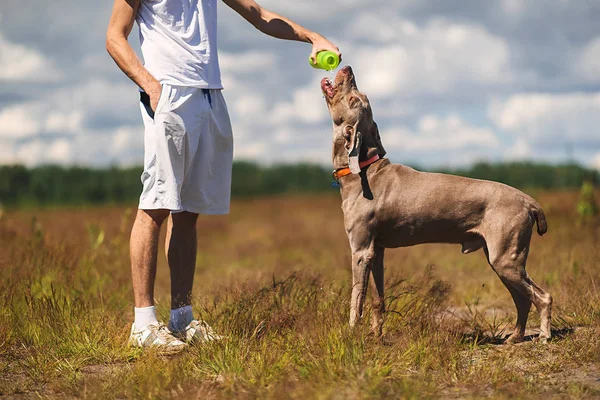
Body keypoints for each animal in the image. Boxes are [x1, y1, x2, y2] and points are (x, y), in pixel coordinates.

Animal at [322, 65, 552, 344]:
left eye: (355, 98)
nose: (347, 68)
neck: (364, 171)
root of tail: (529, 201)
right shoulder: (376, 251)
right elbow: (378, 300)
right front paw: (376, 336)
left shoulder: (361, 251)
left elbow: (356, 299)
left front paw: (352, 335)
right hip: (502, 258)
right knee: (523, 299)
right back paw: (515, 337)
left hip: (506, 258)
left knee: (542, 296)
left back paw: (544, 335)